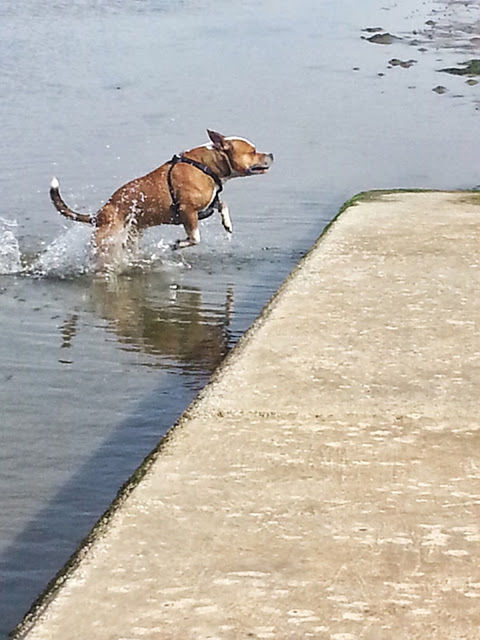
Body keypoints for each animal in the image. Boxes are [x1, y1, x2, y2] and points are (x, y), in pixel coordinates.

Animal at [49, 129, 274, 262]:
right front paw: (178, 244)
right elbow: (195, 237)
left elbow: (222, 203)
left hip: (132, 235)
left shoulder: (208, 203)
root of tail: (99, 215)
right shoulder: (187, 211)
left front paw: (227, 223)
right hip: (108, 238)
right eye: (253, 151)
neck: (207, 165)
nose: (271, 154)